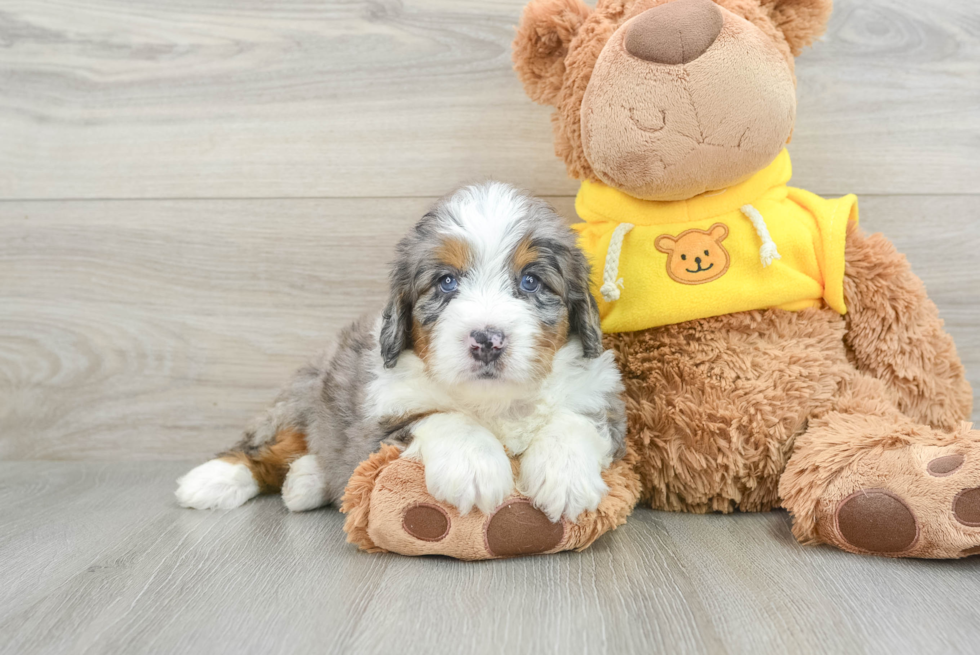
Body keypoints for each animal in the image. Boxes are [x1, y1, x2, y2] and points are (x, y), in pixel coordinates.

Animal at [173, 183, 624, 524]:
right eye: (446, 282)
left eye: (530, 281)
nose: (487, 340)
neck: (495, 402)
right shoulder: (381, 423)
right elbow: (441, 416)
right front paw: (476, 469)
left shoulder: (604, 405)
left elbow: (575, 421)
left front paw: (565, 478)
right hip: (302, 399)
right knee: (266, 446)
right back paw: (210, 481)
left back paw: (305, 481)